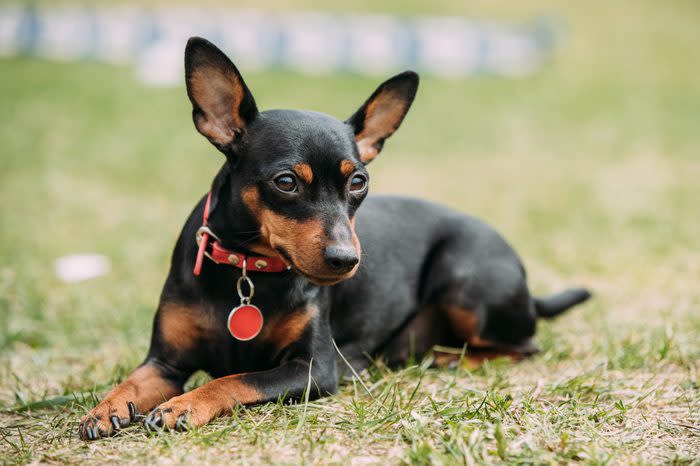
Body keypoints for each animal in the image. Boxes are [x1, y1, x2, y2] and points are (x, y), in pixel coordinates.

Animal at [78, 37, 592, 440]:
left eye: (359, 181)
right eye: (286, 182)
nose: (346, 260)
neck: (248, 270)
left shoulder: (313, 369)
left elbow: (237, 379)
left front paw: (184, 404)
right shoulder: (164, 362)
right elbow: (132, 381)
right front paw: (106, 408)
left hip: (467, 281)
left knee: (524, 345)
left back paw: (450, 359)